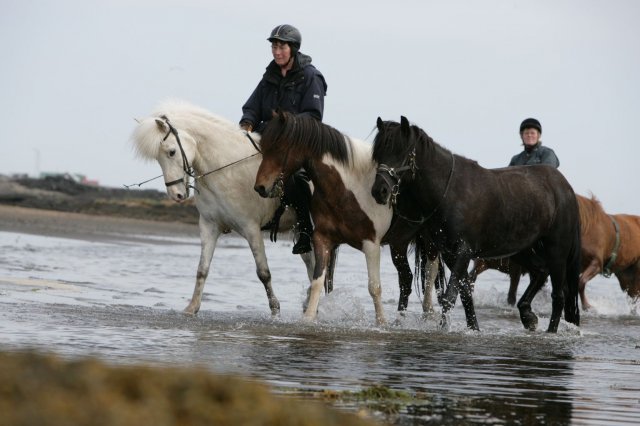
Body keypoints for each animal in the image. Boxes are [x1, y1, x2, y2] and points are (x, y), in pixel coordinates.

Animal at [131, 99, 322, 312]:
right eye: (158, 158)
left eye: (171, 152)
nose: (176, 195)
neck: (226, 170)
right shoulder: (209, 225)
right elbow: (202, 269)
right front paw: (191, 308)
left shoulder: (251, 228)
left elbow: (263, 273)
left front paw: (275, 310)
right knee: (311, 265)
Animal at [372, 116, 584, 332]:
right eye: (379, 153)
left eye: (401, 151)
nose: (379, 191)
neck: (449, 192)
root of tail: (565, 187)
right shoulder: (450, 254)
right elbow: (465, 292)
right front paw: (473, 328)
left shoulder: (463, 251)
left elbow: (450, 294)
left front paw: (444, 328)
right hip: (524, 250)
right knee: (540, 272)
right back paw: (527, 315)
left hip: (557, 251)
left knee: (558, 295)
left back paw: (550, 331)